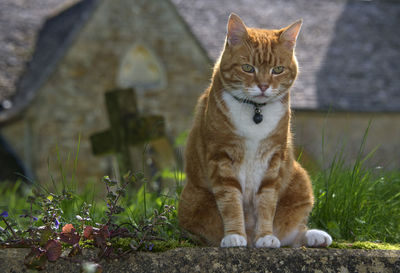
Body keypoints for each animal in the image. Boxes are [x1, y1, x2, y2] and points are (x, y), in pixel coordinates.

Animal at [178, 13, 332, 246]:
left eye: (277, 70)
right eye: (248, 68)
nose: (263, 86)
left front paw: (266, 236)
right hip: (193, 200)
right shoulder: (221, 157)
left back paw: (315, 236)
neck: (255, 111)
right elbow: (230, 201)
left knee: (292, 233)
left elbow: (267, 203)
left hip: (301, 182)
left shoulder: (273, 159)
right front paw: (234, 235)